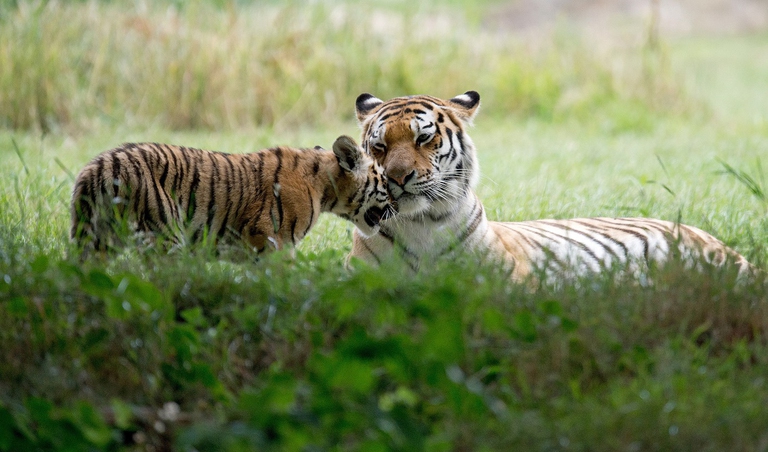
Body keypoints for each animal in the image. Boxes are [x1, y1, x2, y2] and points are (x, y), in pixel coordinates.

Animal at [70, 135, 396, 255]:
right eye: (385, 182)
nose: (397, 203)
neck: (326, 188)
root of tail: (99, 165)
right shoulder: (271, 240)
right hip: (164, 235)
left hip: (95, 241)